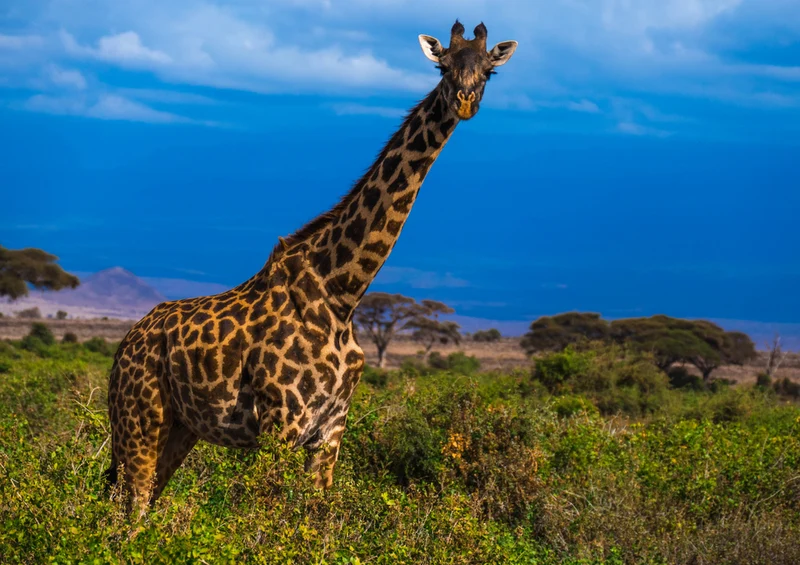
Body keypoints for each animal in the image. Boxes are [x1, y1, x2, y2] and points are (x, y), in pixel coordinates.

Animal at [105, 20, 517, 512]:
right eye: (442, 66)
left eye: (489, 71)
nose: (464, 101)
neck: (343, 291)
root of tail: (126, 343)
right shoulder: (281, 422)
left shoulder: (331, 429)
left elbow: (316, 514)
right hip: (139, 416)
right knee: (129, 504)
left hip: (181, 427)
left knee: (141, 501)